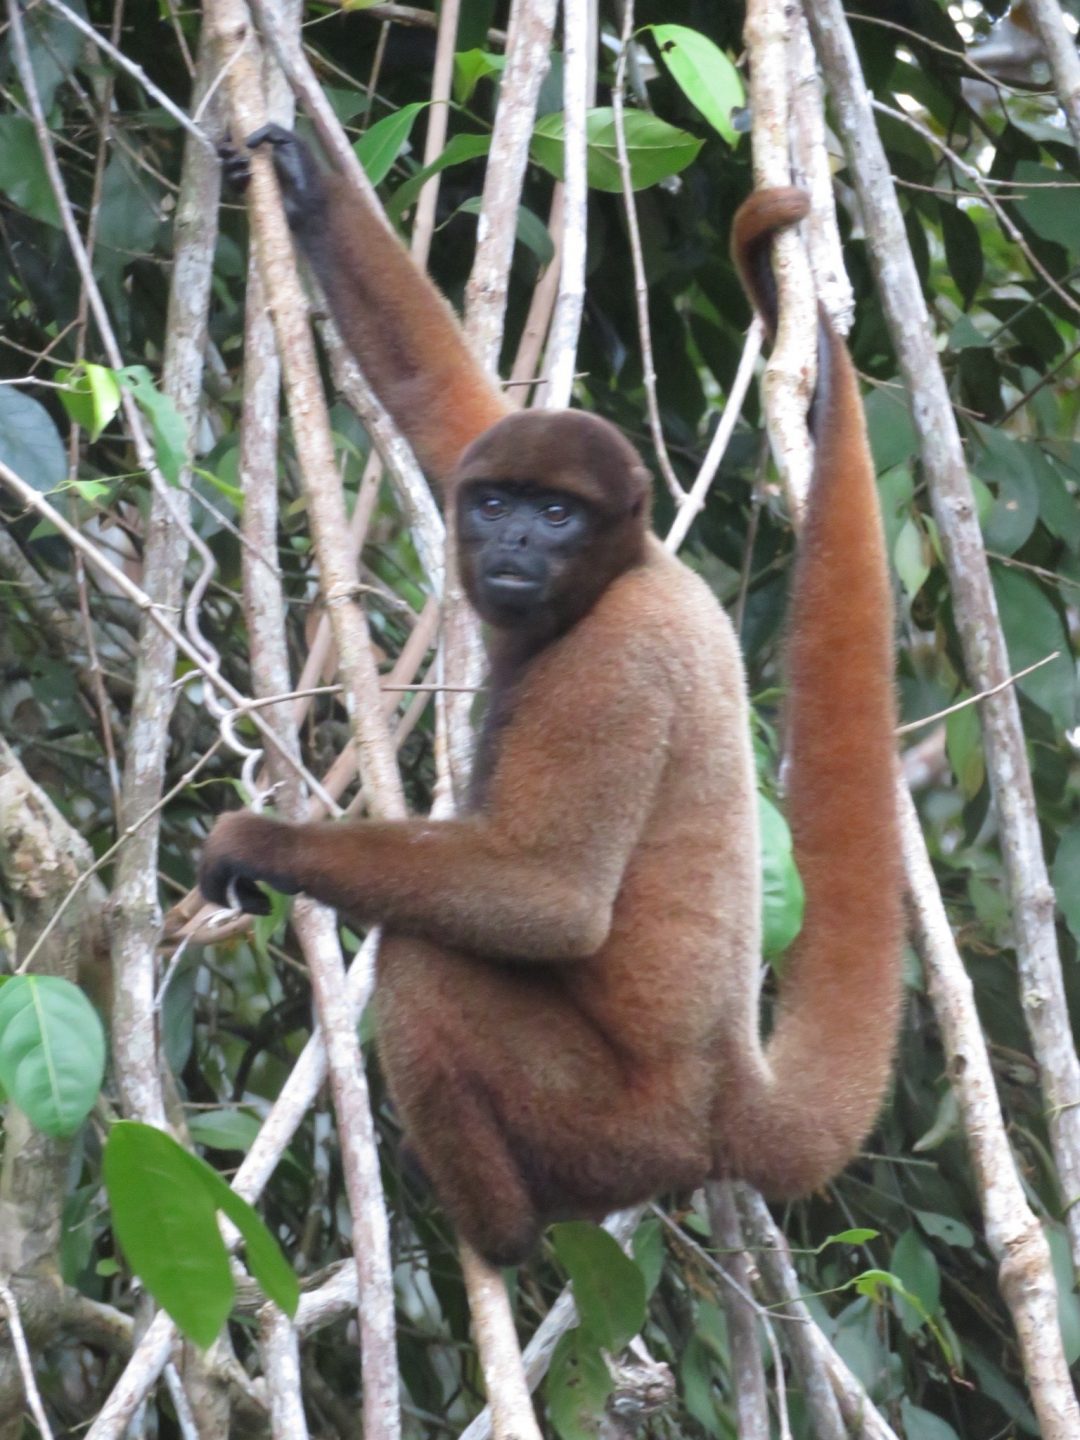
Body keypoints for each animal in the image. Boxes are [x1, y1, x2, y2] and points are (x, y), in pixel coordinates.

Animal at [202, 126, 903, 1266]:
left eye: (559, 515)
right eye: (498, 503)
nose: (517, 542)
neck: (620, 576)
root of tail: (724, 1096)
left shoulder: (610, 670)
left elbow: (552, 898)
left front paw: (265, 843)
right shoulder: (483, 476)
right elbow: (447, 402)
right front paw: (303, 191)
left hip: (614, 1127)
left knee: (425, 961)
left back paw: (499, 1236)